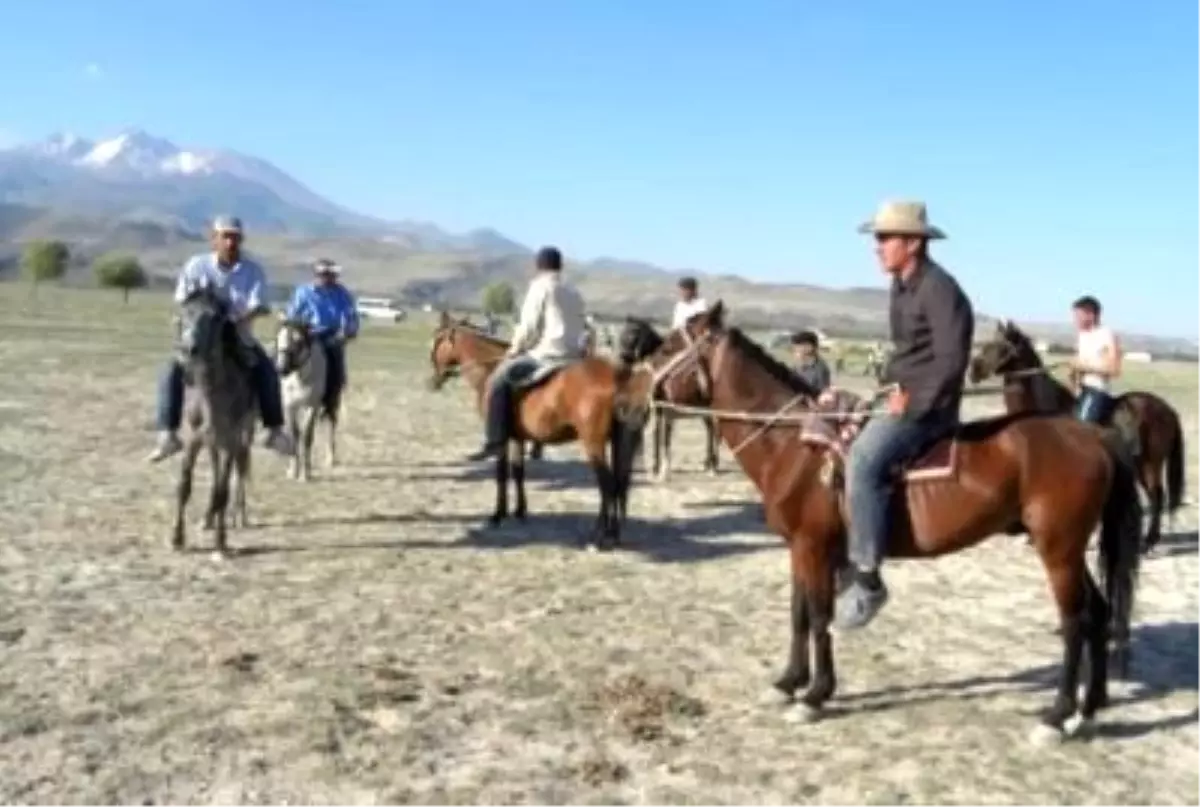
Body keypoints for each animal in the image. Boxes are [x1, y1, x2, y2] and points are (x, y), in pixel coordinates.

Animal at [170, 287, 254, 557]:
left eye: (216, 317)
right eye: (186, 311)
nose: (190, 348)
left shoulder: (229, 440)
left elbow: (222, 491)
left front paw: (221, 542)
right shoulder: (194, 439)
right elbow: (184, 486)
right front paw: (176, 538)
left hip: (242, 438)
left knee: (238, 472)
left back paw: (238, 517)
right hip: (212, 443)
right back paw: (208, 518)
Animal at [429, 309, 648, 547]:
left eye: (438, 340)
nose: (433, 380)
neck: (490, 369)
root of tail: (619, 375)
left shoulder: (502, 438)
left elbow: (501, 473)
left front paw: (498, 514)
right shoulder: (518, 437)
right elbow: (518, 471)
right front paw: (519, 511)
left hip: (594, 445)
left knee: (607, 485)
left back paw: (598, 536)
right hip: (618, 443)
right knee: (617, 483)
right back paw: (613, 534)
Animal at [619, 314, 720, 480]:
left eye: (633, 334)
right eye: (622, 334)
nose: (623, 359)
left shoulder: (657, 408)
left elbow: (657, 434)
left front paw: (656, 468)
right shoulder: (663, 410)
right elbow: (663, 436)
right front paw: (661, 467)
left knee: (715, 431)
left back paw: (713, 466)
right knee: (711, 429)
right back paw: (708, 464)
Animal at [633, 301, 1137, 744]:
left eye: (666, 347)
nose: (636, 397)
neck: (795, 447)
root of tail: (1094, 435)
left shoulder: (815, 547)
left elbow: (820, 615)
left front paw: (815, 695)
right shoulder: (800, 548)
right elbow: (799, 613)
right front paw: (788, 682)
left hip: (1058, 550)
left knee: (1075, 621)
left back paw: (1056, 716)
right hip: (1069, 549)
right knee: (1098, 613)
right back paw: (1089, 708)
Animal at [969, 319, 1185, 552]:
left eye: (999, 346)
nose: (973, 371)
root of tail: (1168, 410)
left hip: (1150, 464)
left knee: (1157, 496)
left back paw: (1149, 542)